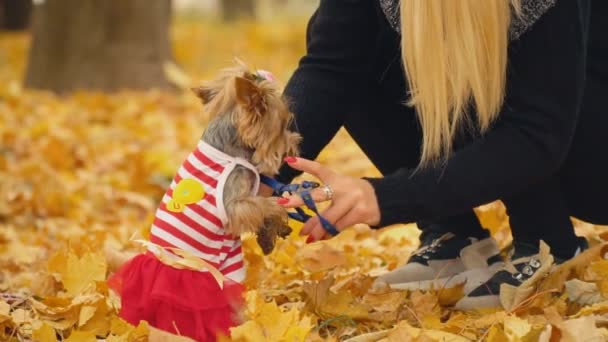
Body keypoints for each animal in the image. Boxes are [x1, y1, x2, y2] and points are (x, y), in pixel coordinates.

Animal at [110, 63, 302, 340]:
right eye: (285, 123)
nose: (296, 143)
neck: (228, 148)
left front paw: (270, 233)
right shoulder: (236, 203)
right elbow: (265, 205)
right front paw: (278, 217)